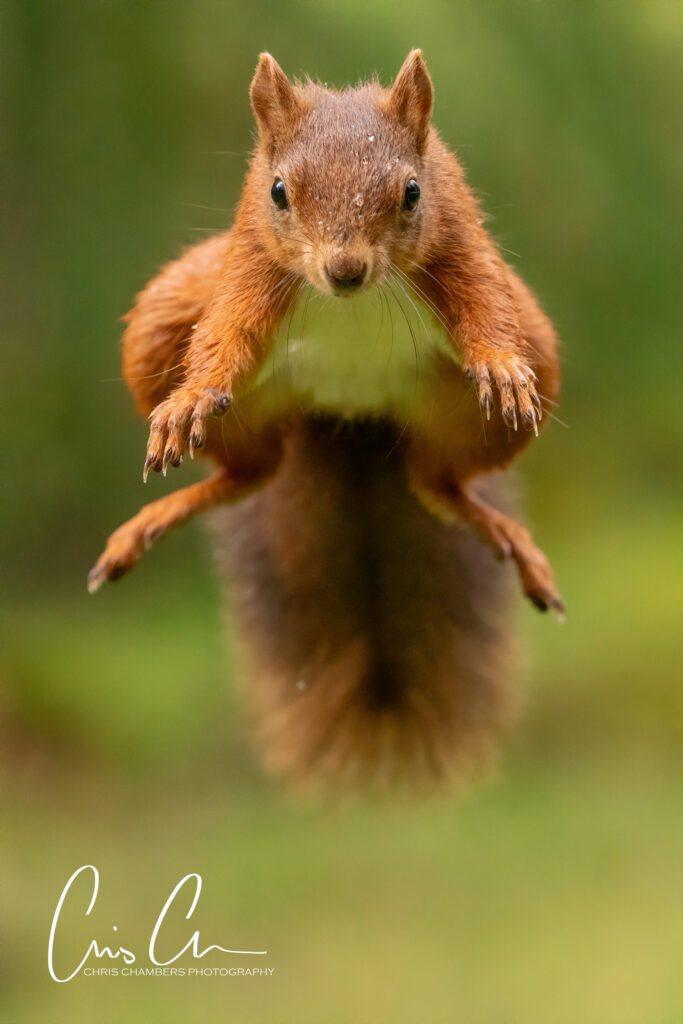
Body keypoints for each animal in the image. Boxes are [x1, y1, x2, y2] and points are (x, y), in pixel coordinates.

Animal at [89, 51, 563, 792]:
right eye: (279, 192)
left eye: (411, 193)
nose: (344, 270)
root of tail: (351, 410)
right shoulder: (249, 260)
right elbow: (224, 336)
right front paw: (190, 398)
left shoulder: (460, 240)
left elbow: (485, 305)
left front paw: (498, 365)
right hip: (164, 323)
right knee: (254, 471)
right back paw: (147, 523)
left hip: (529, 359)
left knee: (431, 482)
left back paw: (500, 530)